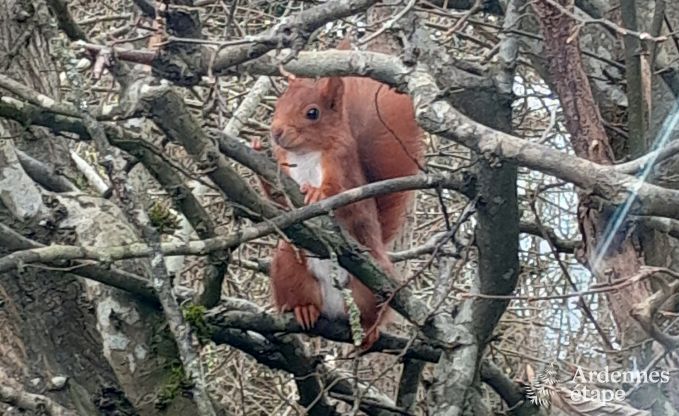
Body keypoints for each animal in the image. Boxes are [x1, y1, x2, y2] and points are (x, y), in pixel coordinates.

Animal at [266, 55, 424, 346]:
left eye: (312, 113)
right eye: (278, 105)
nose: (276, 132)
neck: (306, 153)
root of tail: (337, 309)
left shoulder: (342, 164)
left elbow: (339, 191)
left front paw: (317, 192)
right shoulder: (284, 168)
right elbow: (276, 201)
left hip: (373, 285)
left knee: (373, 313)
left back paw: (371, 329)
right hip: (288, 264)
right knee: (301, 296)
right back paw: (304, 309)